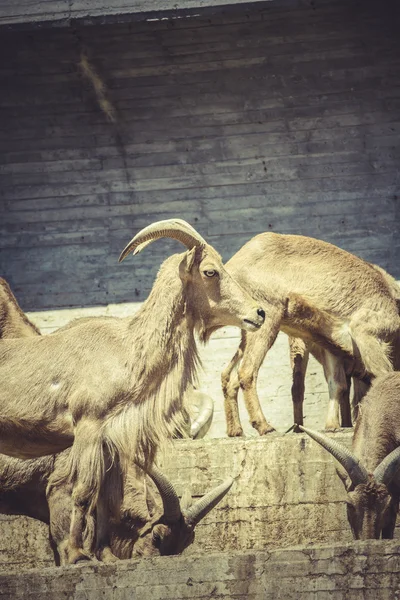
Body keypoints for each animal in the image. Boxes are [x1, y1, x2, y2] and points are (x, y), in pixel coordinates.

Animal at [222, 233, 400, 436]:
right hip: (268, 317)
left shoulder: (332, 344)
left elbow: (338, 384)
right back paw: (266, 427)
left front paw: (332, 426)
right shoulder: (366, 331)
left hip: (249, 328)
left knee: (229, 375)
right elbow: (382, 376)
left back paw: (236, 431)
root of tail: (233, 264)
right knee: (247, 371)